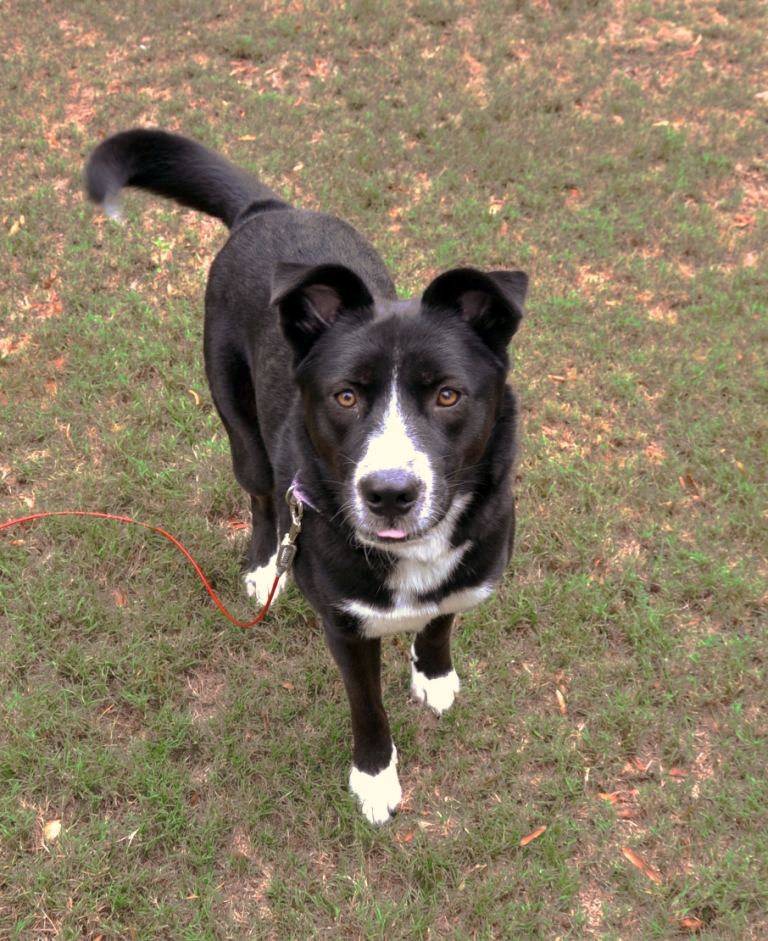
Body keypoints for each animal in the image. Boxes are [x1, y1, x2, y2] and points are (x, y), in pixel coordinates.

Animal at [85, 130, 528, 824]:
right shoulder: (344, 627)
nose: (390, 494)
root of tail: (268, 209)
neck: (412, 553)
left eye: (448, 395)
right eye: (345, 397)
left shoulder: (466, 577)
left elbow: (439, 620)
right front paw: (374, 778)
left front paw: (432, 675)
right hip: (242, 424)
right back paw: (267, 564)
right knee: (263, 493)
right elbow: (368, 707)